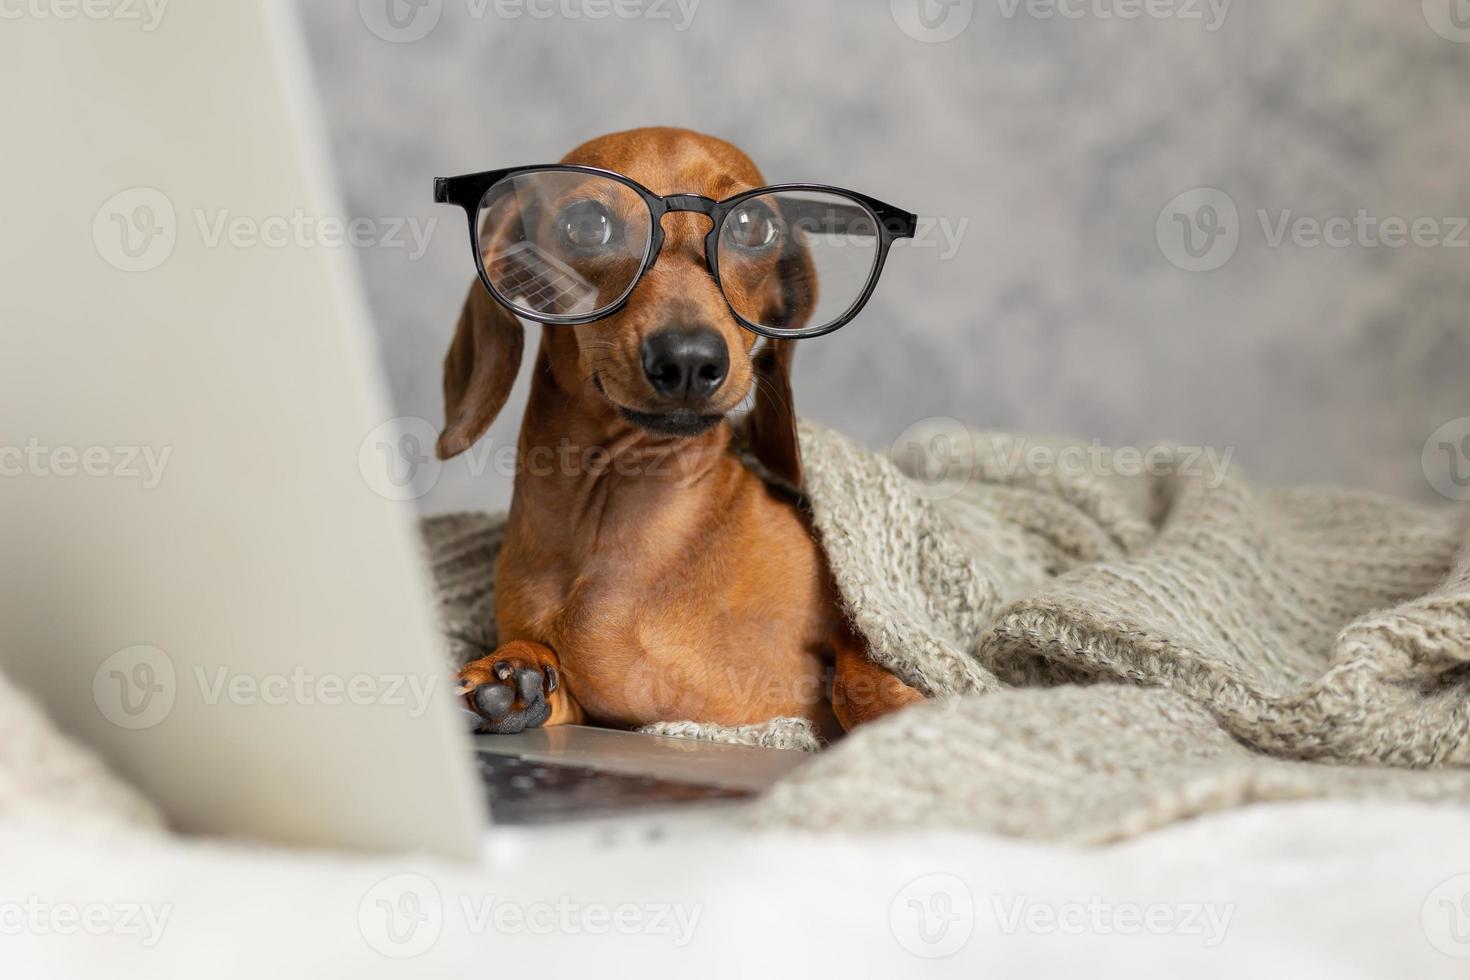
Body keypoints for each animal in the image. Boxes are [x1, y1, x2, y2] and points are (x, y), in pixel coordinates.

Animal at [435, 132, 923, 743]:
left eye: (753, 226)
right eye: (587, 224)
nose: (689, 360)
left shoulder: (851, 618)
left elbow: (859, 665)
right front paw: (516, 673)